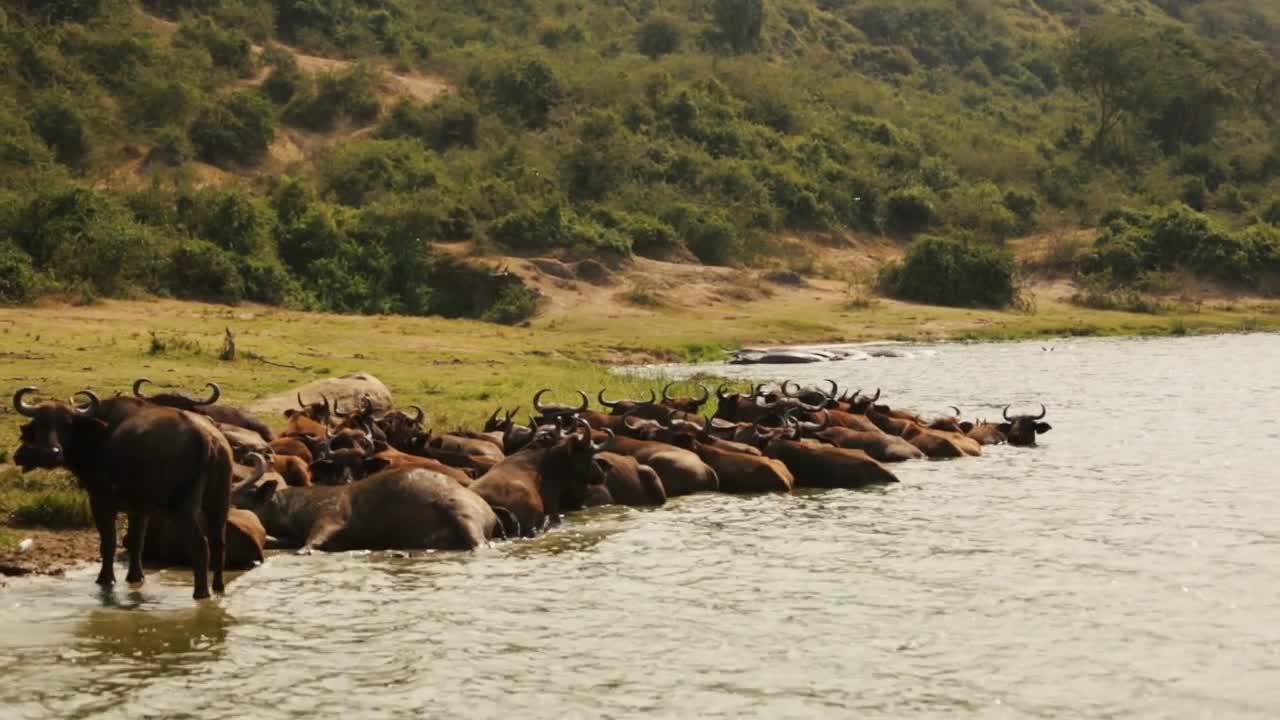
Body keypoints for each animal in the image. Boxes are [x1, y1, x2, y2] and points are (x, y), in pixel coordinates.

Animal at [12, 384, 231, 597]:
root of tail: (206, 437)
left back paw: (201, 593)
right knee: (218, 542)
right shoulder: (139, 509)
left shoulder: (100, 500)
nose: (51, 452)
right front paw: (135, 577)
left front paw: (105, 579)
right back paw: (218, 587)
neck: (100, 436)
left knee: (200, 546)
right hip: (219, 501)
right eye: (39, 424)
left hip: (183, 508)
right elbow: (137, 541)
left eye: (67, 424)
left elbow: (108, 542)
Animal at [232, 466, 501, 548]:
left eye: (238, 496)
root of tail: (490, 512)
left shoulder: (330, 515)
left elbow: (314, 539)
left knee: (478, 543)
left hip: (461, 513)